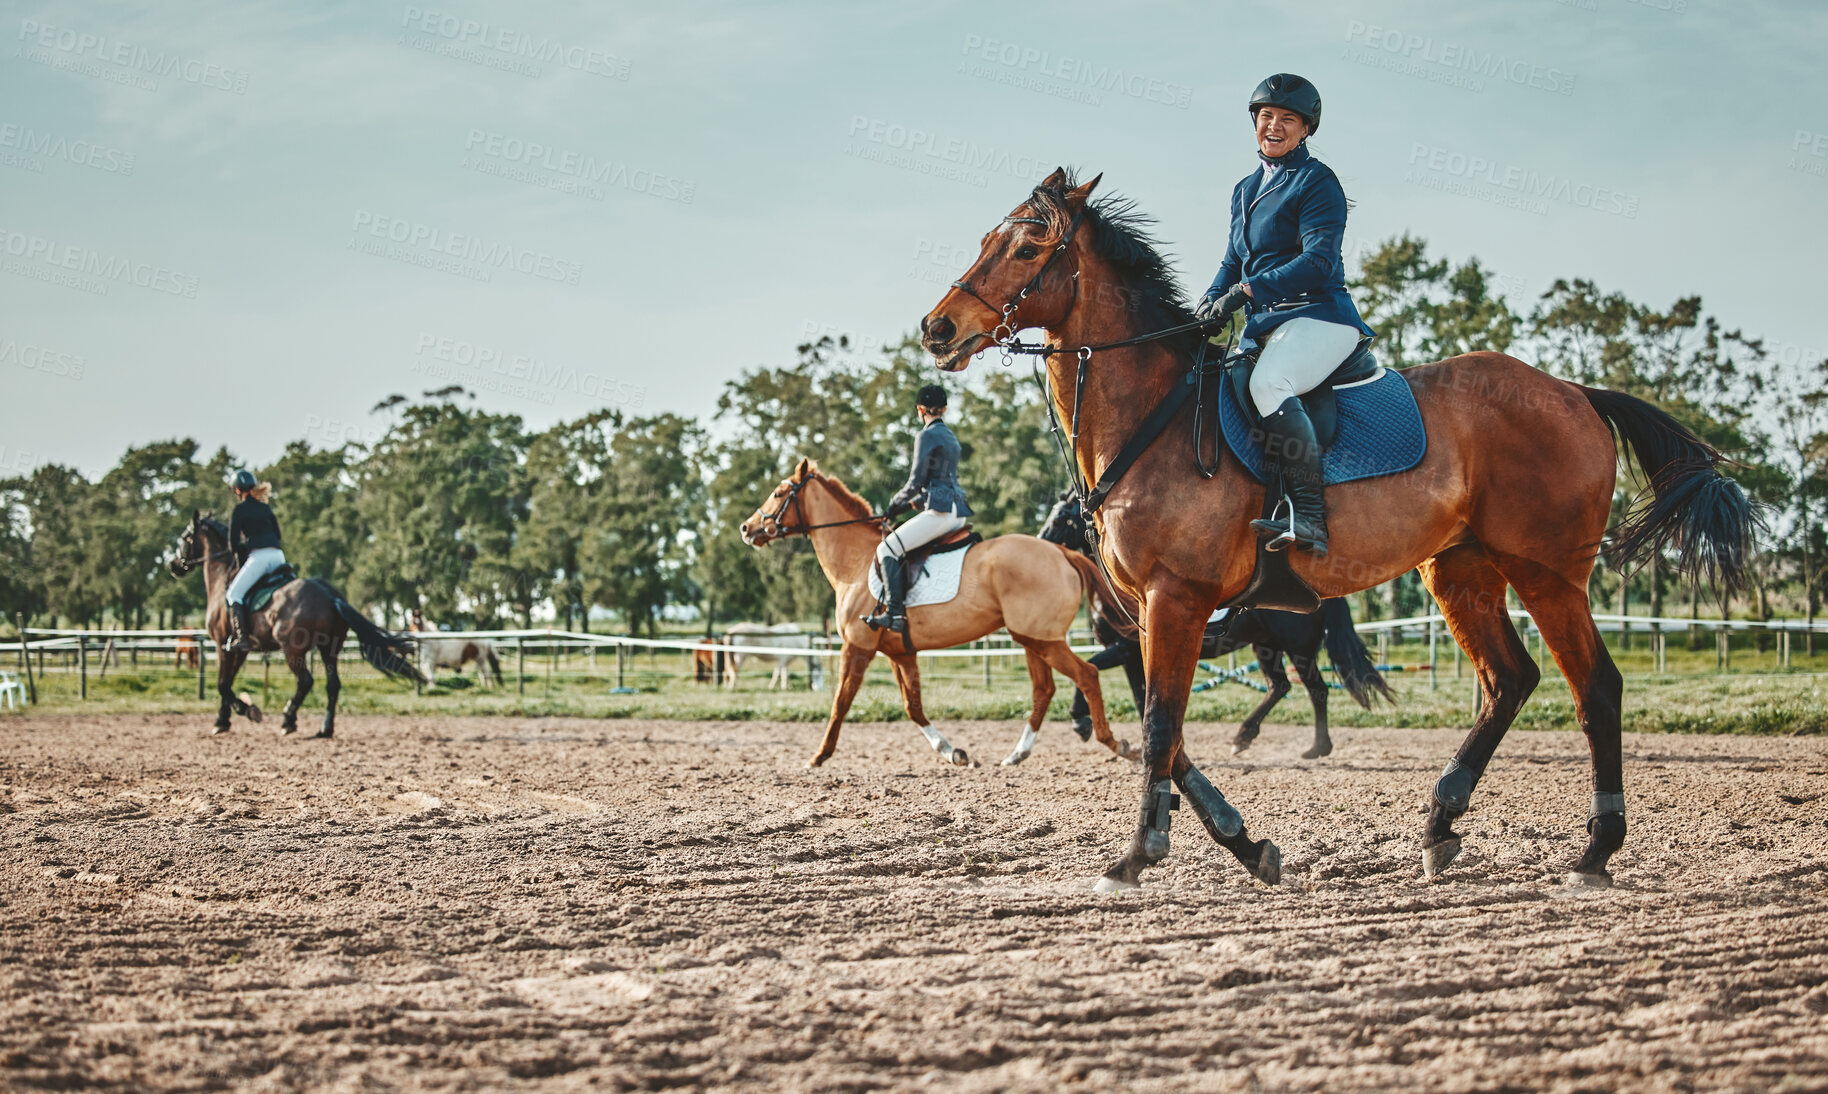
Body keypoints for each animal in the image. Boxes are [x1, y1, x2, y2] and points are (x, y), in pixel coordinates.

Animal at [169, 512, 427, 739]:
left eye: (184, 538)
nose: (173, 565)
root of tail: (328, 594)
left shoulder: (223, 644)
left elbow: (222, 684)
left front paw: (243, 713)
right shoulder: (240, 649)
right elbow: (227, 683)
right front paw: (223, 720)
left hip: (293, 649)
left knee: (305, 681)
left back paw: (288, 721)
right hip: (329, 649)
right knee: (333, 686)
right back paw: (324, 729)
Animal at [734, 462, 1133, 772]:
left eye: (778, 492)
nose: (747, 528)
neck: (854, 564)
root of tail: (1061, 552)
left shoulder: (857, 647)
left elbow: (840, 704)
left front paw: (818, 756)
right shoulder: (901, 652)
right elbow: (913, 707)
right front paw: (953, 752)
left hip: (1042, 640)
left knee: (1086, 675)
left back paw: (1117, 743)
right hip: (1030, 639)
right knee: (1044, 689)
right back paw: (1017, 754)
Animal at [1038, 493, 1389, 757]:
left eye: (1060, 518)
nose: (1040, 543)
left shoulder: (1122, 648)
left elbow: (1089, 668)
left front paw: (1080, 722)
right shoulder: (1133, 655)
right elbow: (1141, 698)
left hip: (1298, 649)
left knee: (1316, 689)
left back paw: (1316, 748)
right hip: (1266, 646)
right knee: (1279, 686)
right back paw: (1244, 738)